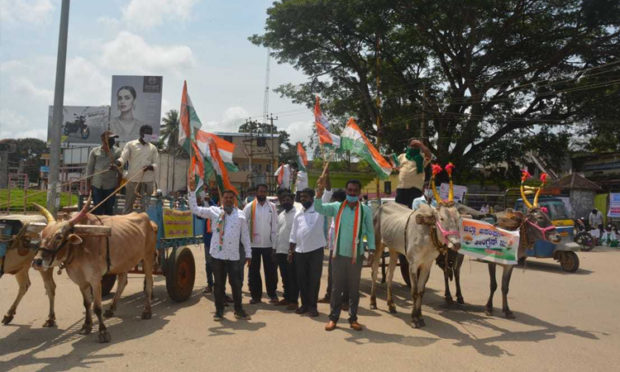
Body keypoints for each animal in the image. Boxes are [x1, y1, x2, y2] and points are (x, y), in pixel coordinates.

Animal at [31, 201, 157, 342]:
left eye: (59, 236)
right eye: (41, 235)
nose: (37, 261)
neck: (80, 247)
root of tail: (148, 219)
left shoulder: (95, 279)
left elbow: (97, 307)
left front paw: (103, 332)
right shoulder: (81, 281)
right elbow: (87, 304)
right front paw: (87, 326)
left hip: (148, 257)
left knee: (149, 283)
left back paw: (147, 311)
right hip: (124, 261)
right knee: (122, 282)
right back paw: (111, 309)